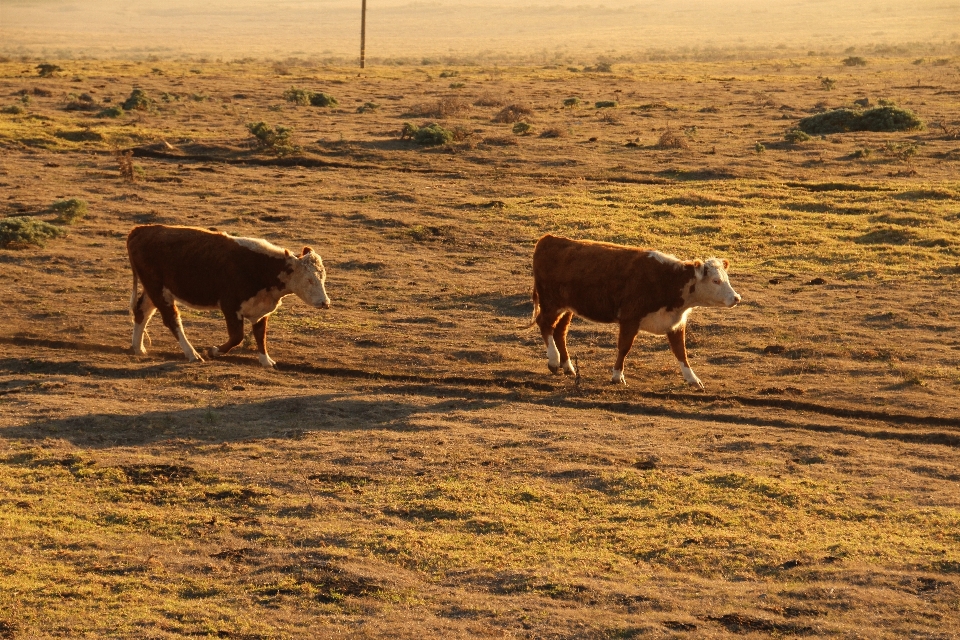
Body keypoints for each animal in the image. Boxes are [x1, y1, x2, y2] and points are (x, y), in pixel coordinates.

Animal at [127, 225, 332, 368]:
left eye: (322, 277)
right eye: (309, 280)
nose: (325, 302)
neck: (262, 268)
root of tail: (142, 230)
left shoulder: (262, 310)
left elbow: (260, 336)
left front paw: (266, 361)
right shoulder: (230, 306)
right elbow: (237, 337)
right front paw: (214, 351)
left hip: (155, 290)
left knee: (142, 311)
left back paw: (138, 348)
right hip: (158, 290)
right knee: (172, 319)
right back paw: (192, 354)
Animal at [528, 232, 740, 388]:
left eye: (726, 278)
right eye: (715, 280)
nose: (736, 298)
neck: (667, 280)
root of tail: (549, 239)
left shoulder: (675, 323)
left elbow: (681, 352)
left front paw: (693, 379)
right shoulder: (630, 319)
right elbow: (624, 347)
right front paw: (617, 376)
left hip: (567, 307)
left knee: (560, 332)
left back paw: (567, 366)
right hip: (551, 303)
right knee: (544, 324)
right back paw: (554, 361)